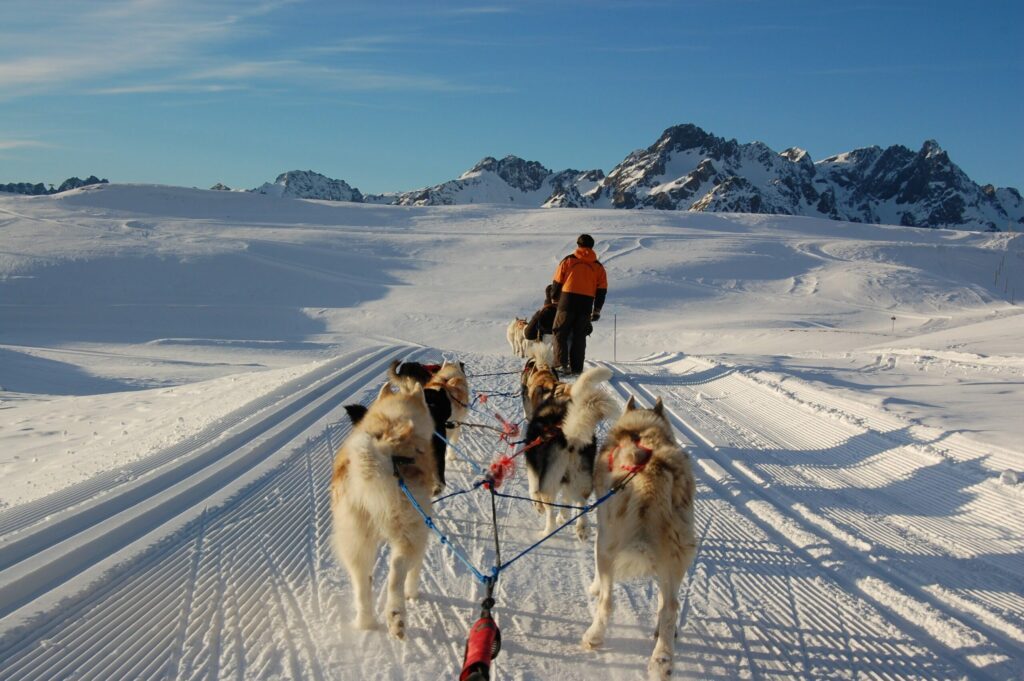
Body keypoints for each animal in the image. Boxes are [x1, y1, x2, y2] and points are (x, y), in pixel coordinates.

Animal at [331, 376, 436, 639]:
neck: (393, 417)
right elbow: (414, 570)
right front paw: (413, 593)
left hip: (356, 539)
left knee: (361, 583)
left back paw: (366, 622)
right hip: (410, 532)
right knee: (396, 571)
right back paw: (396, 615)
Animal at [524, 364, 618, 540]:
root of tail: (570, 436)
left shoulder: (533, 470)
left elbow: (532, 490)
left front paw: (538, 507)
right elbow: (566, 499)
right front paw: (564, 515)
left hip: (549, 484)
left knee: (550, 512)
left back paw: (546, 531)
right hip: (581, 477)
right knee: (581, 502)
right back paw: (582, 528)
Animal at [585, 395, 696, 675]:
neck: (643, 429)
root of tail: (651, 475)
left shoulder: (603, 530)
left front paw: (593, 587)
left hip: (608, 547)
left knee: (607, 601)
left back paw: (594, 635)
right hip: (676, 557)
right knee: (669, 608)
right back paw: (662, 658)